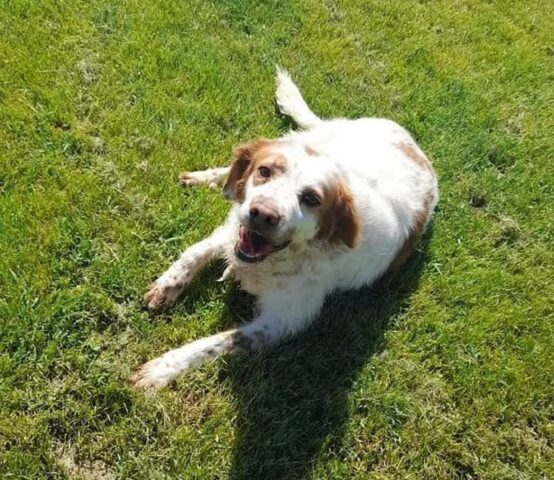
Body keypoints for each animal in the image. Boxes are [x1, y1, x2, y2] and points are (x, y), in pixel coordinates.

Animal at [132, 68, 438, 390]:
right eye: (264, 171)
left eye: (311, 199)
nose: (262, 214)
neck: (278, 259)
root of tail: (408, 140)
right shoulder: (233, 230)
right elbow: (194, 252)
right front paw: (167, 285)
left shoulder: (282, 320)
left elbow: (216, 343)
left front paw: (161, 369)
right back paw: (205, 177)